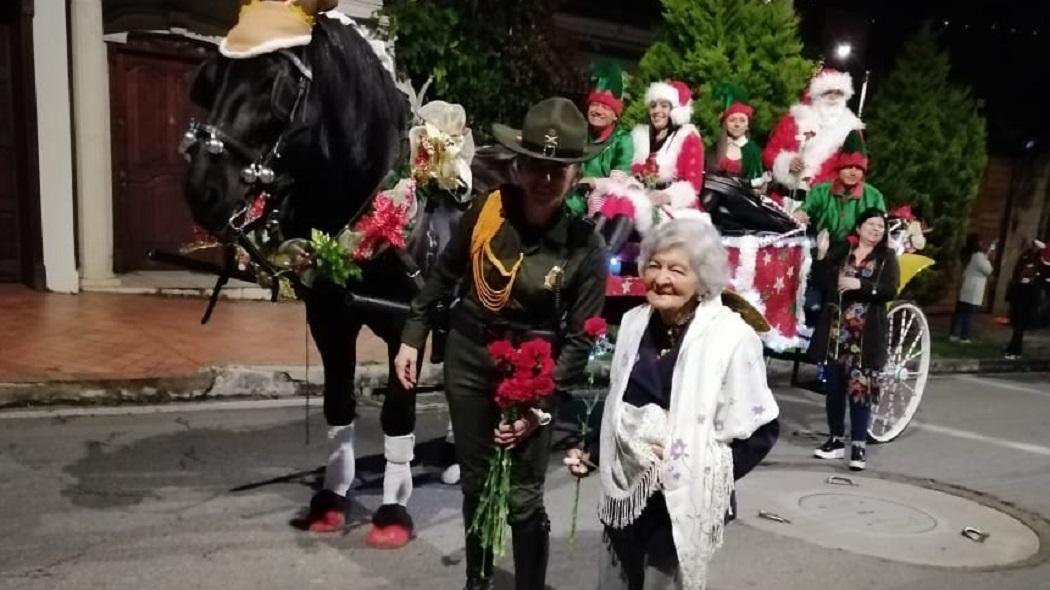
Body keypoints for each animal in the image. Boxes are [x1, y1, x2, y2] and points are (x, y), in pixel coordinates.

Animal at [183, 13, 451, 545]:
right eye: (210, 78)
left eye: (278, 86)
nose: (203, 187)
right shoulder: (330, 322)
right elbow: (338, 407)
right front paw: (332, 499)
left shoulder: (405, 328)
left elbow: (397, 413)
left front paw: (393, 509)